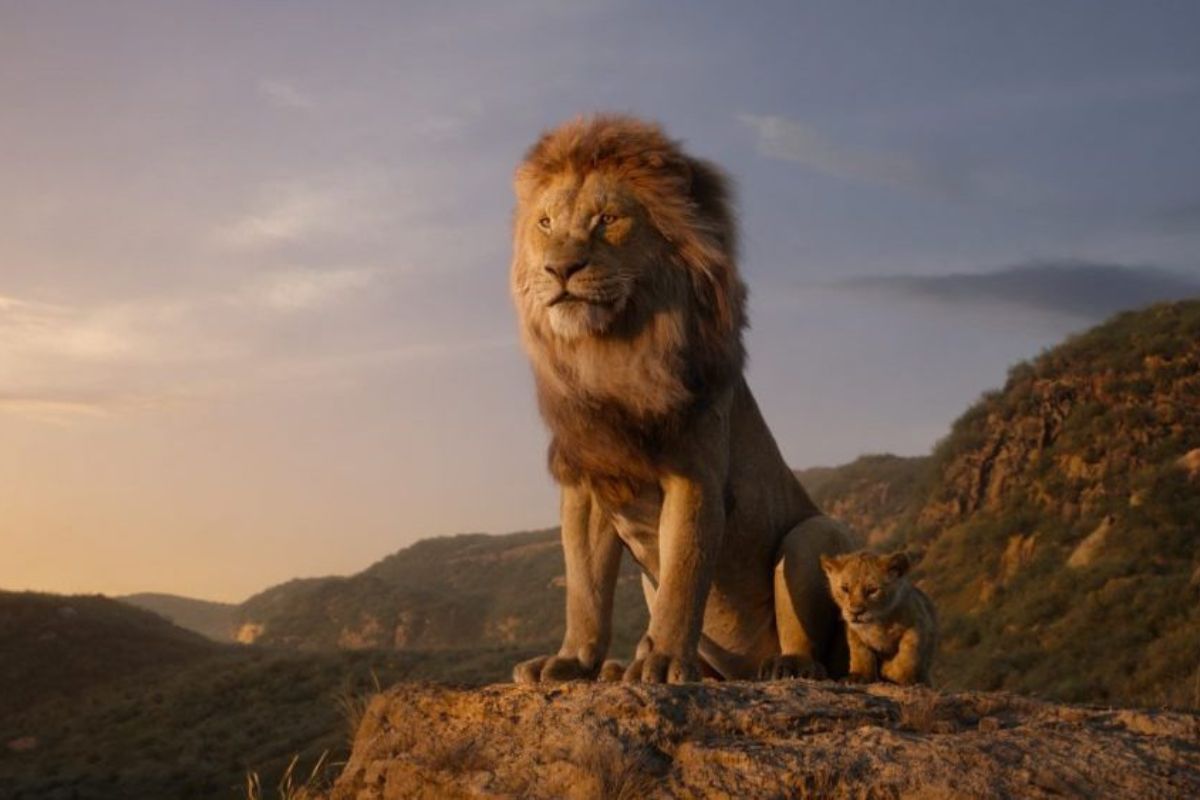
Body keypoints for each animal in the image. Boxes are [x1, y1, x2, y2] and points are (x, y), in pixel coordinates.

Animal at [510, 115, 858, 684]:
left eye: (607, 219)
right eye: (545, 223)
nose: (559, 269)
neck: (611, 353)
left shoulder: (694, 475)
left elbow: (683, 576)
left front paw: (665, 661)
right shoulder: (588, 483)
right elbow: (585, 589)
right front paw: (572, 661)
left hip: (813, 534)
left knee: (815, 647)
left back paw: (785, 666)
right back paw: (621, 668)